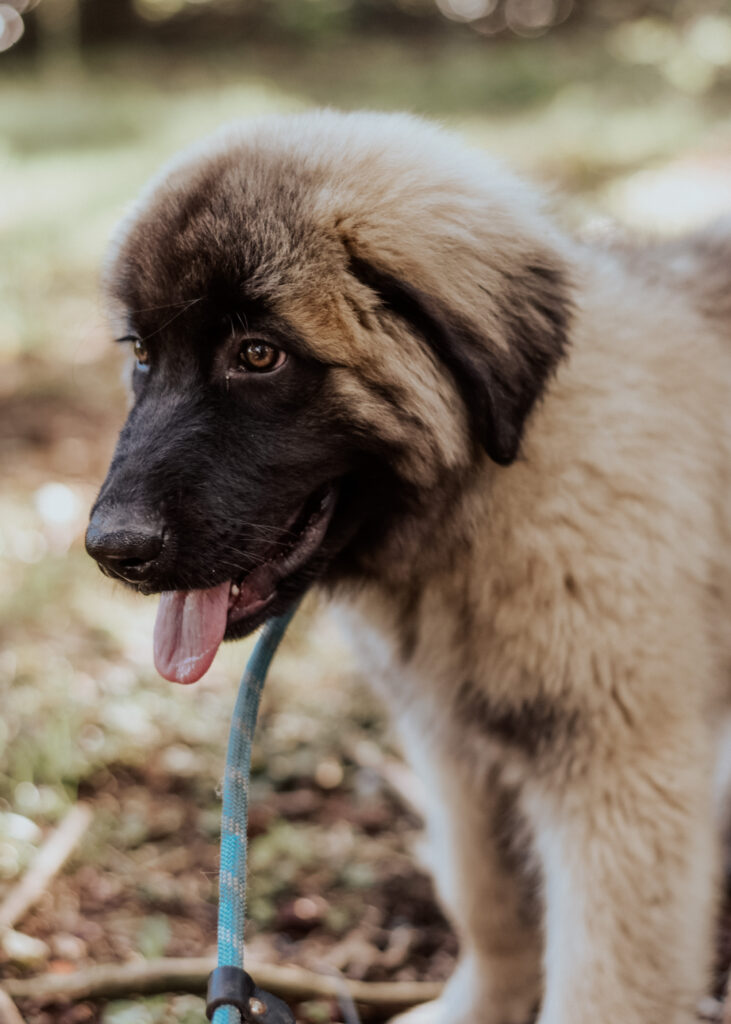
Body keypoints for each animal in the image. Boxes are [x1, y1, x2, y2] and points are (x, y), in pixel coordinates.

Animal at [85, 108, 728, 1019]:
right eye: (143, 352)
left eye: (258, 355)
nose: (113, 548)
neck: (495, 485)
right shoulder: (454, 749)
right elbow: (488, 901)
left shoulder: (621, 770)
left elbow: (605, 978)